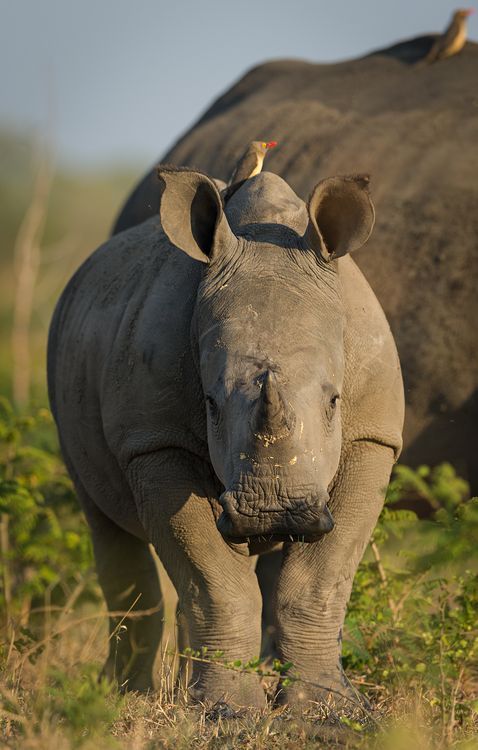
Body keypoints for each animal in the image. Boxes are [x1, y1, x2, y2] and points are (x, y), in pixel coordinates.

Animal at [48, 167, 403, 707]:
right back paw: (125, 700)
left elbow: (321, 579)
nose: (272, 513)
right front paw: (228, 712)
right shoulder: (156, 441)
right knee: (107, 527)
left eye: (334, 401)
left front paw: (325, 710)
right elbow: (215, 582)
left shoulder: (373, 436)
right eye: (211, 403)